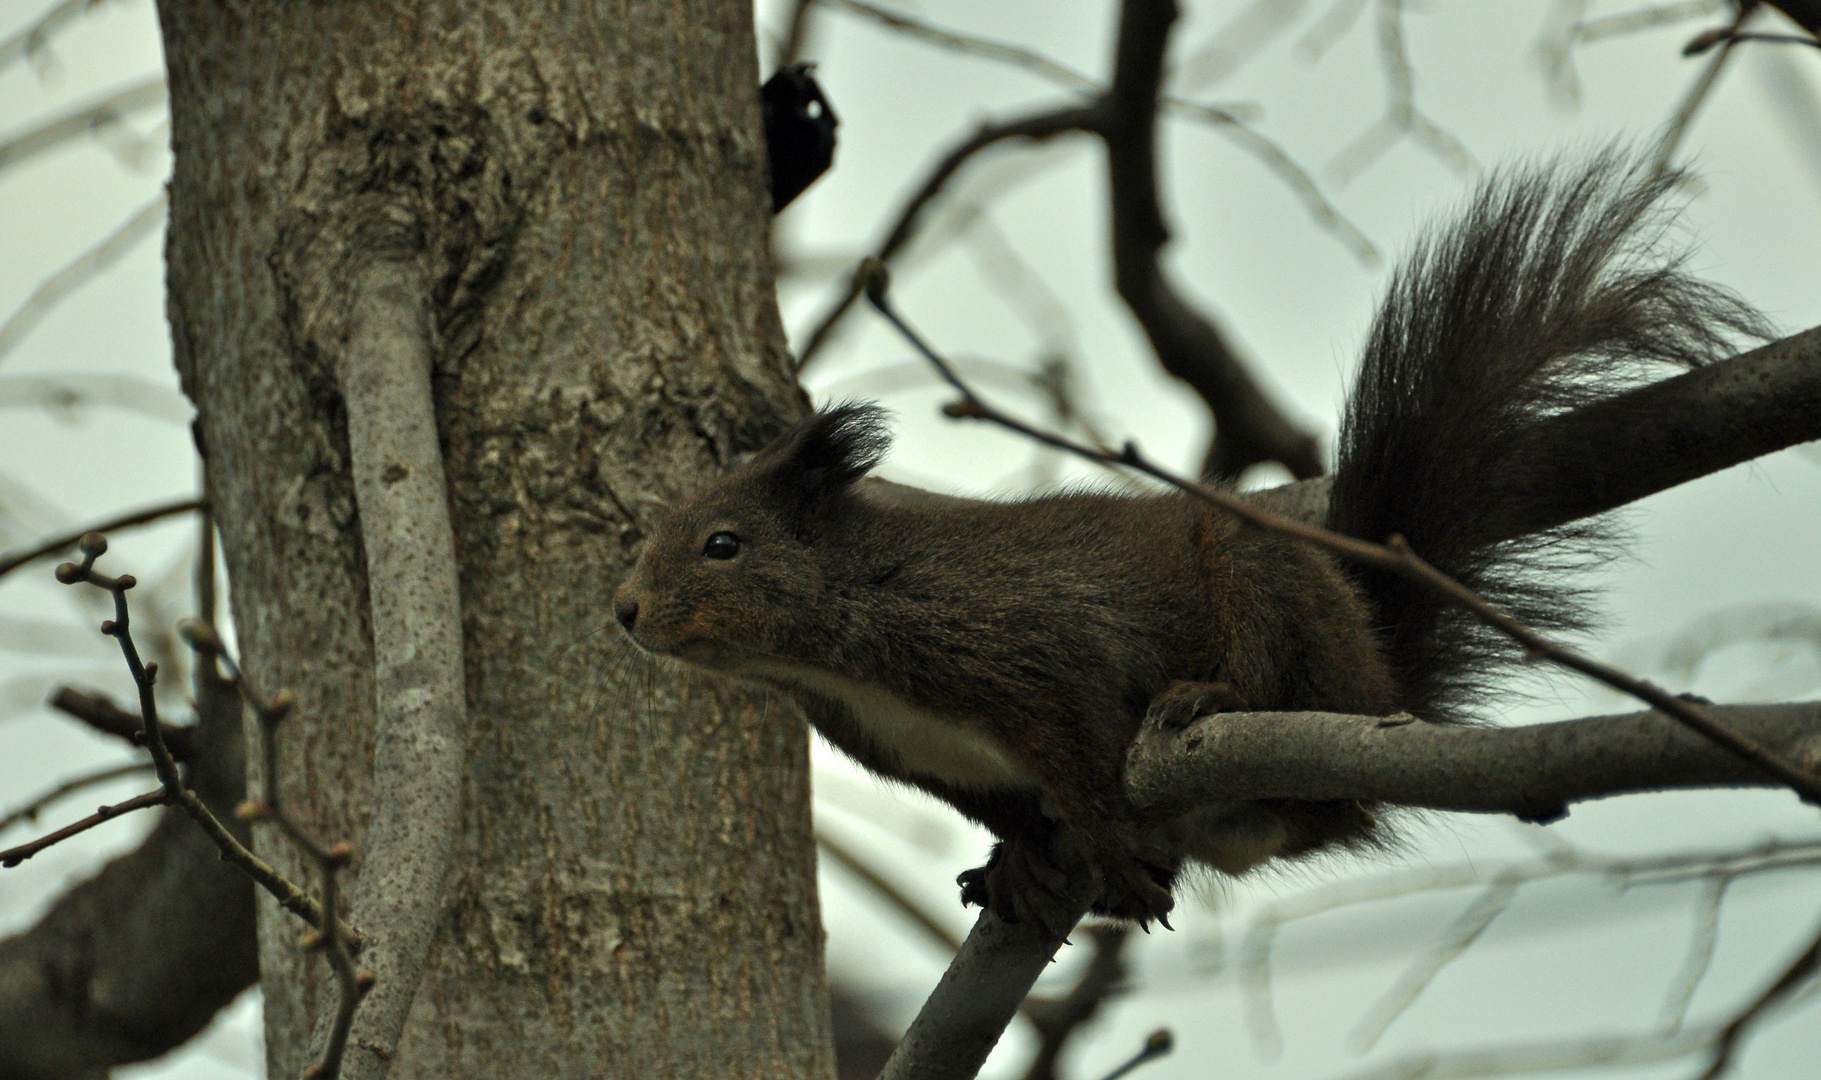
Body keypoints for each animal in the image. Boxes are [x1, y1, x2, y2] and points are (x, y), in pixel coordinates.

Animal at [608, 153, 1762, 932]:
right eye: (651, 535)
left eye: (722, 546)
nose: (623, 612)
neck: (836, 639)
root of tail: (1380, 685)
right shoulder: (916, 751)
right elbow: (1009, 807)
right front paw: (1015, 861)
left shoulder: (1020, 648)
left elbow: (1077, 745)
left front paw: (1108, 848)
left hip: (1259, 581)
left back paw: (1208, 701)